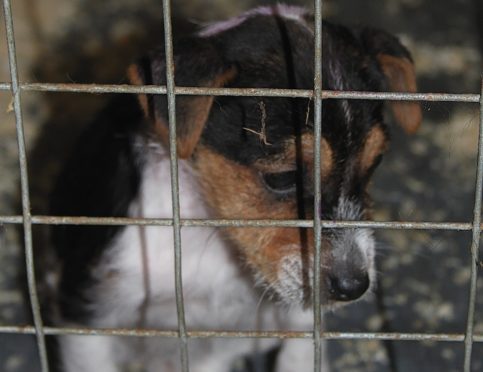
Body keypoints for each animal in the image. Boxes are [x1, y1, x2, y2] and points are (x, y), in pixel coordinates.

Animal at [47, 3, 422, 372]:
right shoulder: (88, 313)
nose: (354, 287)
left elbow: (299, 355)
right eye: (283, 177)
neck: (211, 234)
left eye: (375, 164)